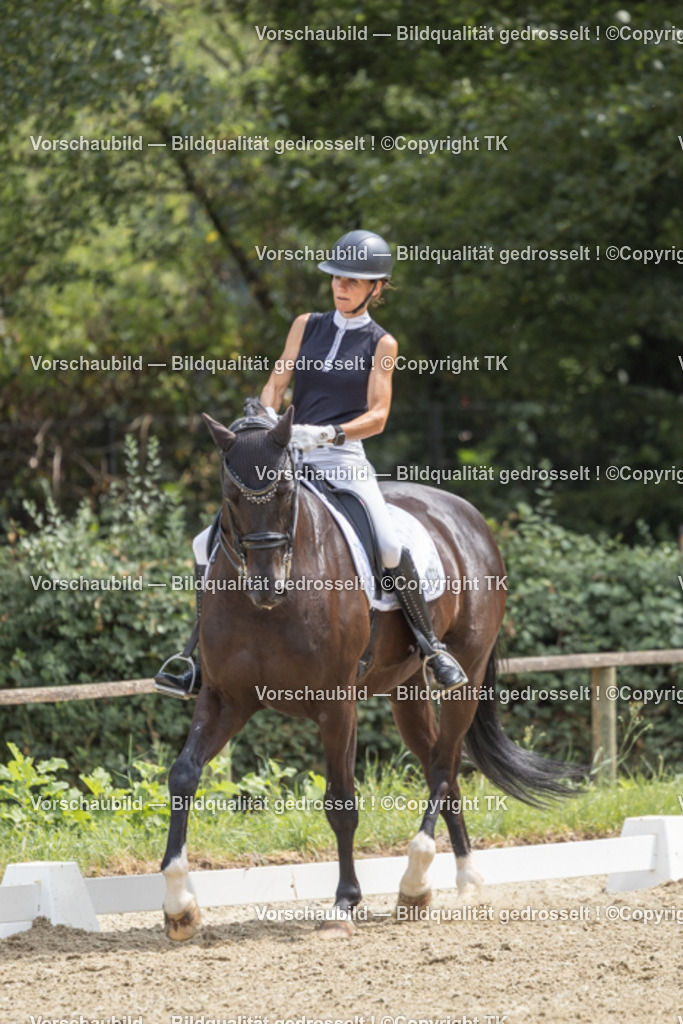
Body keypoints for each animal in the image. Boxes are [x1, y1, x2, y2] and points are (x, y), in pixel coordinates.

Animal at [161, 399, 579, 940]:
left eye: (287, 491)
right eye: (231, 497)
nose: (266, 587)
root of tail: (468, 515)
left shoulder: (336, 705)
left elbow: (341, 802)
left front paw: (344, 903)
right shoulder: (226, 699)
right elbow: (183, 775)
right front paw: (179, 906)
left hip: (464, 672)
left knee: (443, 765)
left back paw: (417, 879)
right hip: (406, 688)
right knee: (440, 764)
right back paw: (458, 880)